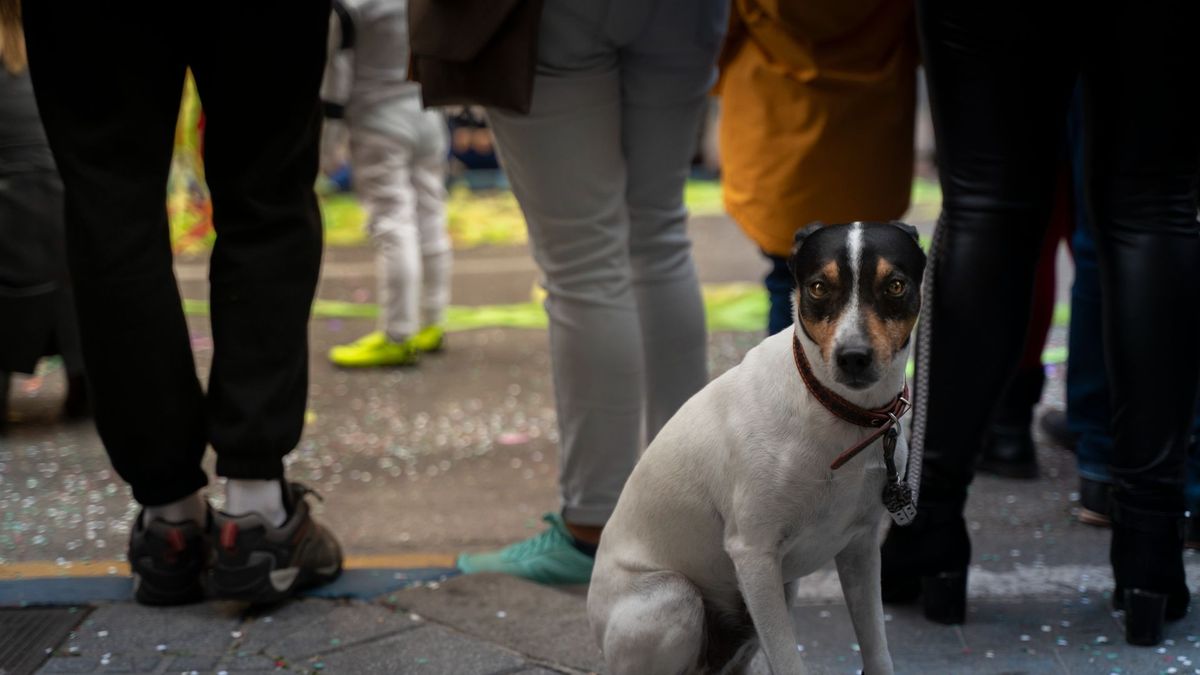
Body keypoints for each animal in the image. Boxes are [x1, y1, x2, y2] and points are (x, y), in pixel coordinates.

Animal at [590, 222, 926, 672]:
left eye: (895, 285)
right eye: (818, 287)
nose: (853, 357)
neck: (835, 411)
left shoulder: (861, 548)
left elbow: (876, 649)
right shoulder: (754, 554)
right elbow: (788, 662)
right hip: (674, 596)